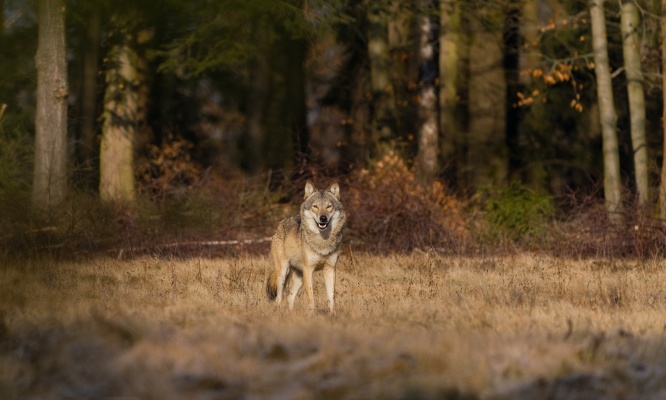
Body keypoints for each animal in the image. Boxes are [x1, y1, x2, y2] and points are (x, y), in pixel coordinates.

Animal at [265, 180, 347, 315]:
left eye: (329, 206)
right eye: (315, 206)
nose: (323, 218)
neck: (322, 241)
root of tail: (280, 223)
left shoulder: (330, 269)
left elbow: (331, 296)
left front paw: (333, 315)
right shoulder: (309, 270)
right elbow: (310, 296)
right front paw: (311, 315)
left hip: (299, 277)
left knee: (290, 298)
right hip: (284, 271)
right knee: (279, 297)